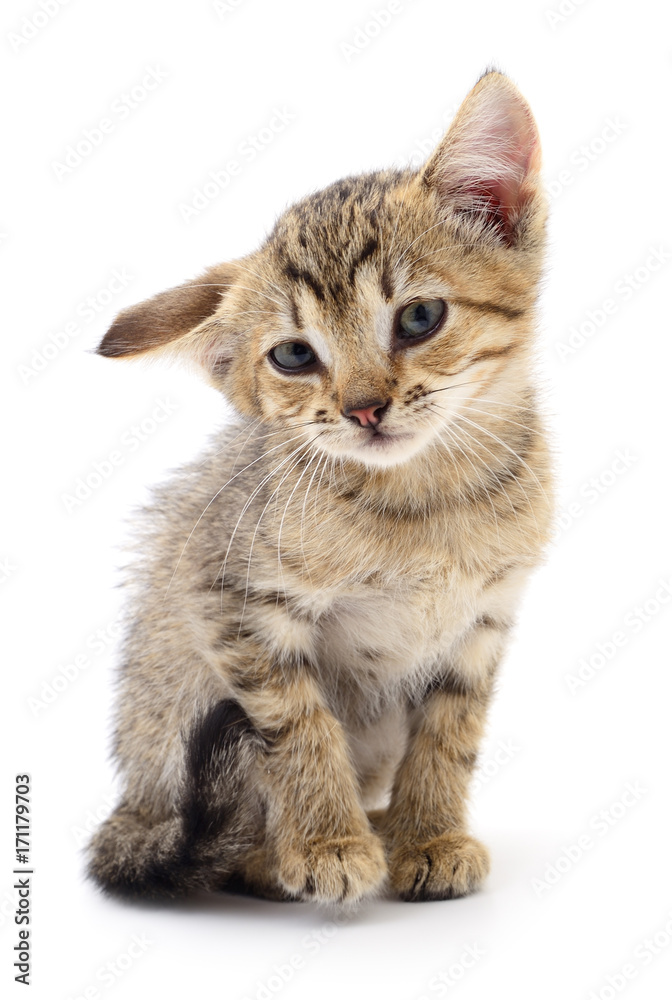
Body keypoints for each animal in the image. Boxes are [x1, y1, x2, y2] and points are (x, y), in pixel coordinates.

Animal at [88, 68, 552, 900]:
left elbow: (452, 731)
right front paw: (329, 842)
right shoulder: (229, 598)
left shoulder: (486, 618)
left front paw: (429, 833)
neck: (427, 501)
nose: (364, 408)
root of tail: (134, 810)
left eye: (421, 317)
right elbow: (299, 725)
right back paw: (280, 855)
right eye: (295, 356)